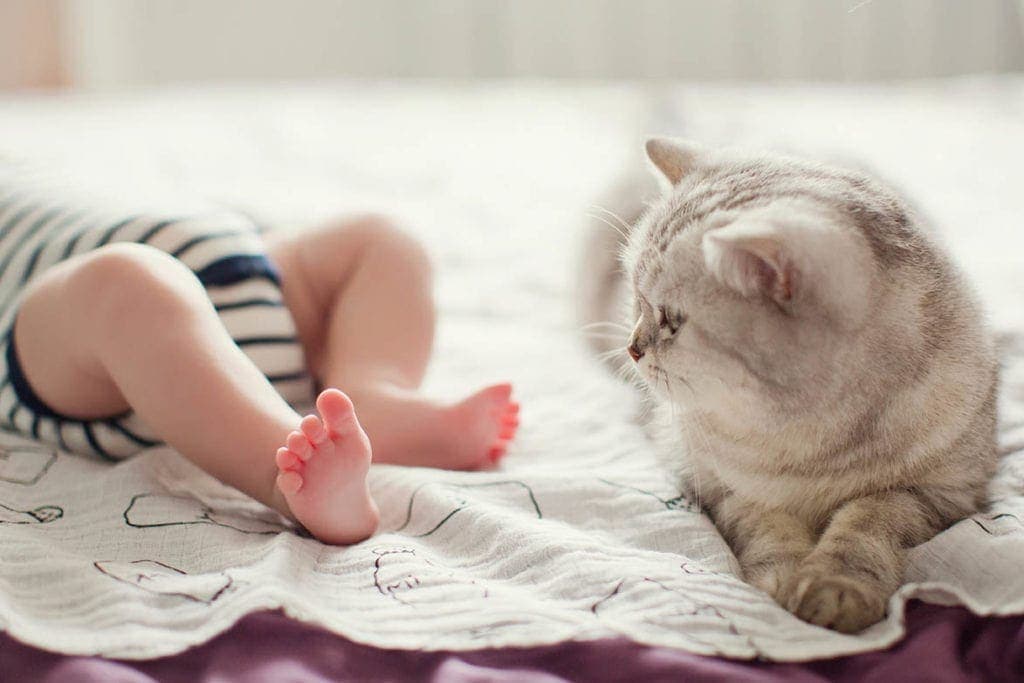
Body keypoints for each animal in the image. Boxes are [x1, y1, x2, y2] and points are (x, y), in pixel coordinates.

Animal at [585, 139, 999, 634]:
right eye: (637, 301)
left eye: (671, 321)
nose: (632, 348)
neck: (807, 440)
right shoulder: (720, 487)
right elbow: (768, 528)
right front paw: (782, 580)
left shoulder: (941, 491)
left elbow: (868, 521)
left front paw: (835, 588)